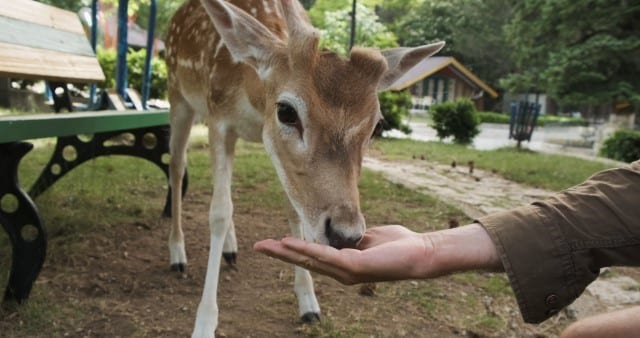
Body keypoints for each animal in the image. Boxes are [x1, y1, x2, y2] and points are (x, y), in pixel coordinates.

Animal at [165, 0, 444, 336]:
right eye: (286, 111)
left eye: (377, 125)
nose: (345, 235)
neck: (252, 97)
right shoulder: (219, 118)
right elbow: (218, 212)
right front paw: (204, 323)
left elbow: (292, 211)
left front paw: (309, 303)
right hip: (178, 96)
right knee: (177, 166)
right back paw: (177, 255)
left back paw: (231, 250)